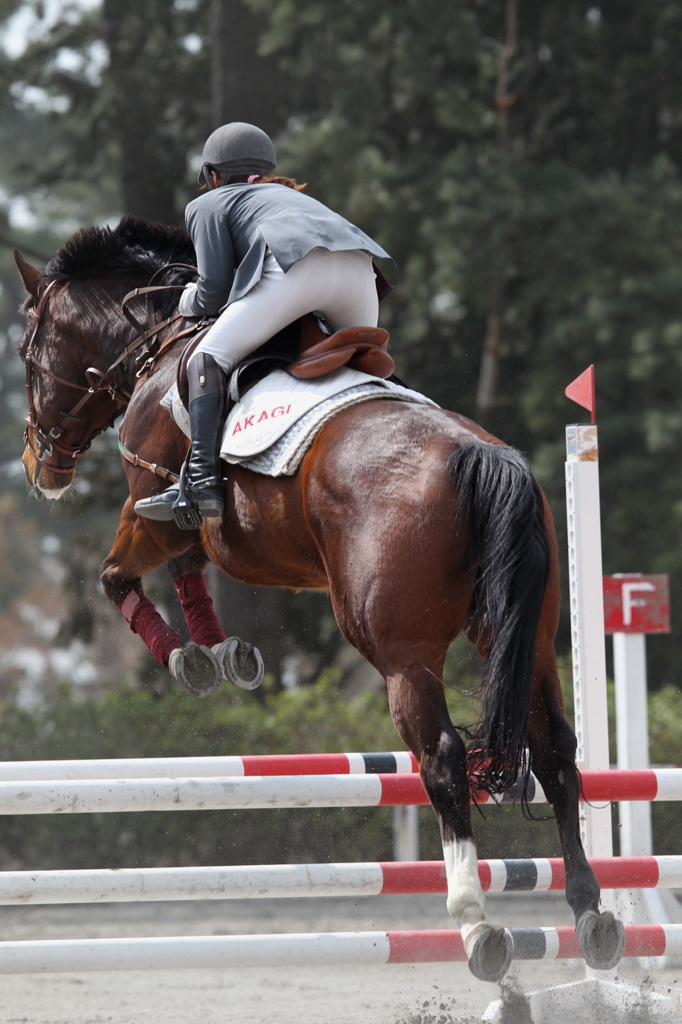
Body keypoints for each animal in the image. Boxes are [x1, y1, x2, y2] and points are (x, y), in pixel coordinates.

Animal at [13, 218, 622, 983]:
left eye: (27, 352)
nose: (39, 466)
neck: (162, 340)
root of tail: (477, 455)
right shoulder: (188, 529)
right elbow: (183, 566)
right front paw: (223, 651)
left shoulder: (150, 506)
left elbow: (115, 575)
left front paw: (191, 658)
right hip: (528, 640)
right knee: (557, 755)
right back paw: (593, 916)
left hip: (401, 655)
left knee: (443, 759)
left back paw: (477, 925)